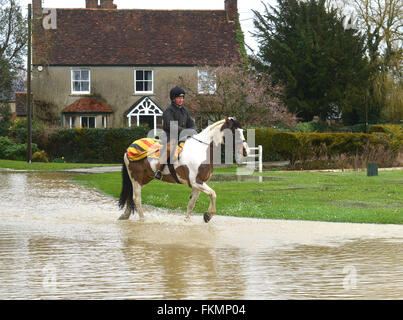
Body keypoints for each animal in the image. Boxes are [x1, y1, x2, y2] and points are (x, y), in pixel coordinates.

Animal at [118, 117, 249, 222]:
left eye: (242, 131)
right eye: (234, 131)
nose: (245, 150)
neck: (201, 149)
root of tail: (129, 148)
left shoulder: (198, 185)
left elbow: (191, 204)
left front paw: (187, 222)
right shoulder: (196, 182)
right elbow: (213, 193)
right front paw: (208, 215)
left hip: (144, 179)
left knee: (131, 196)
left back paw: (125, 215)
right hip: (136, 178)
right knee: (136, 198)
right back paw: (142, 219)